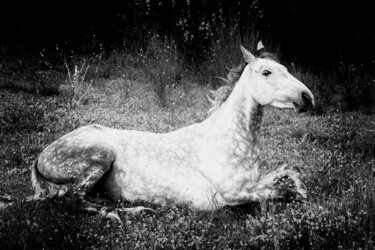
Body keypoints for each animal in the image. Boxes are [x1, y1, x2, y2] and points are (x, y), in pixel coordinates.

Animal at [26, 42, 316, 222]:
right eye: (266, 71)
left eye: (286, 69)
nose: (307, 98)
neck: (230, 142)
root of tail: (42, 156)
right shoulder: (233, 195)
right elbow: (282, 192)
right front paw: (303, 199)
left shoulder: (254, 182)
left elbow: (289, 173)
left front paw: (303, 192)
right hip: (100, 157)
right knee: (75, 200)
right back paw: (128, 212)